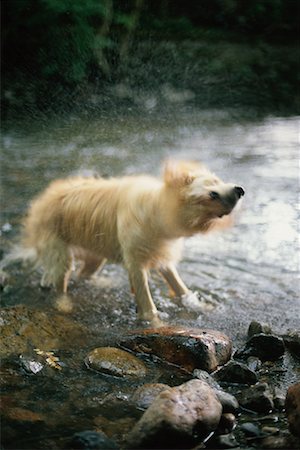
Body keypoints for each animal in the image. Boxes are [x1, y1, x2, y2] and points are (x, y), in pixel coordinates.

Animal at [2, 161, 244, 320]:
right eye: (212, 193)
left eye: (218, 180)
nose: (240, 189)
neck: (157, 211)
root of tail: (42, 199)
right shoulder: (136, 263)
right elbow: (147, 303)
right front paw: (153, 323)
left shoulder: (162, 257)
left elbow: (181, 288)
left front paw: (201, 307)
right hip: (61, 252)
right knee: (61, 282)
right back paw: (63, 304)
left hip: (94, 256)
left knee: (72, 275)